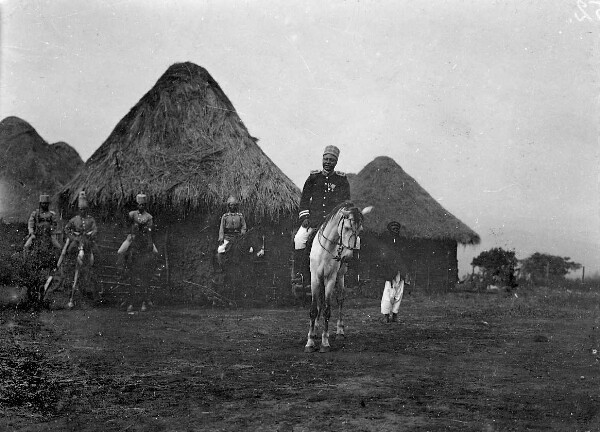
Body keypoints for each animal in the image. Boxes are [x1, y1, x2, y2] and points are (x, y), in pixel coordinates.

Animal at [304, 201, 370, 352]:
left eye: (360, 230)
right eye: (346, 228)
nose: (348, 256)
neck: (326, 249)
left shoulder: (330, 279)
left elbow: (327, 310)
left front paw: (325, 343)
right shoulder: (314, 278)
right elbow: (313, 309)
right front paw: (310, 342)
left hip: (340, 277)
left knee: (340, 299)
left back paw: (340, 331)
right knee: (320, 302)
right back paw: (315, 330)